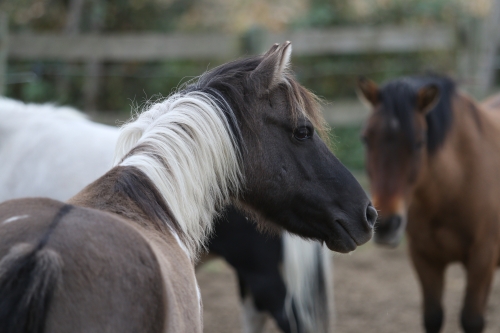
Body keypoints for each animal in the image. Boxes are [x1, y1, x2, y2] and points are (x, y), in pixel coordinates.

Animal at [358, 74, 500, 332]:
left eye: (419, 141)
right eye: (366, 138)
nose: (386, 225)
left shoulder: (482, 259)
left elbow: (472, 319)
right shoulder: (424, 259)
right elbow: (433, 317)